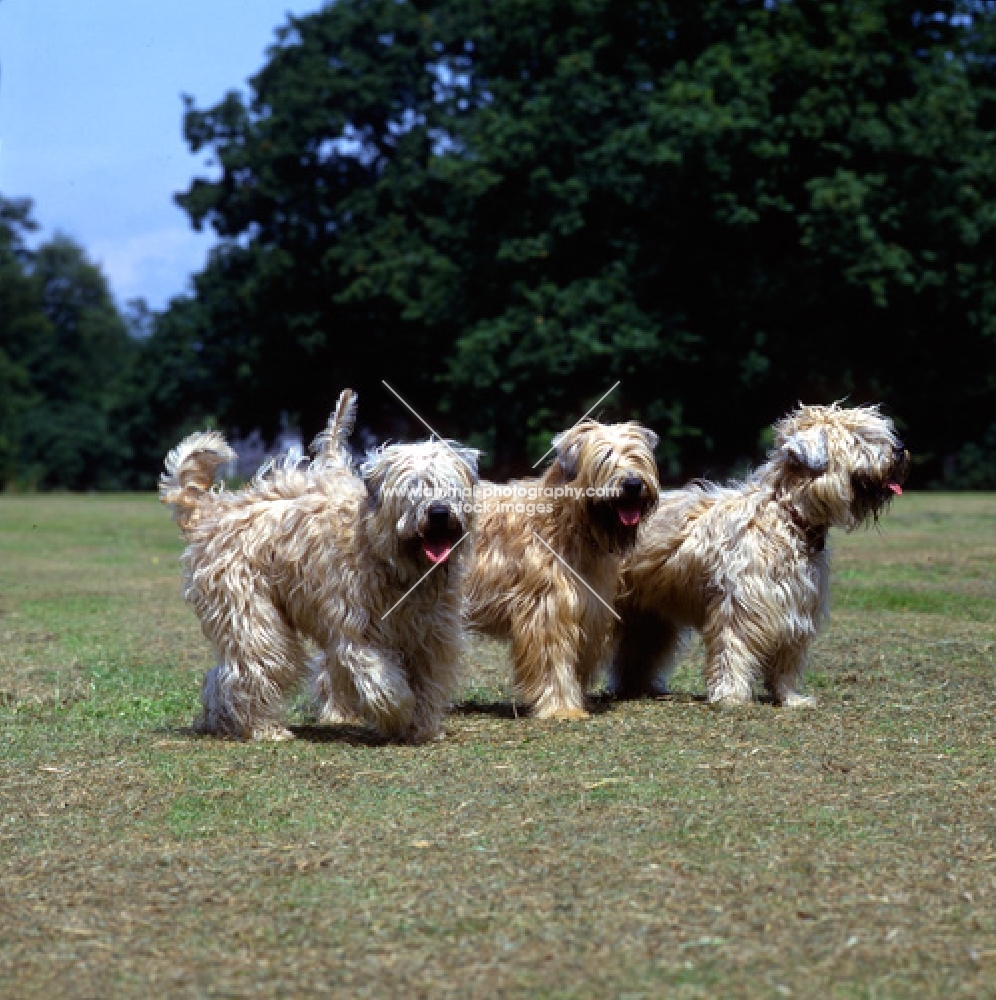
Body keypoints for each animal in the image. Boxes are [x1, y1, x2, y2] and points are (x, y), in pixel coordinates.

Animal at [160, 390, 478, 744]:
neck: (391, 559)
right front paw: (398, 715)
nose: (439, 512)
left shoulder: (432, 634)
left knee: (224, 675)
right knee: (256, 667)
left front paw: (421, 727)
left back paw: (221, 721)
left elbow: (426, 683)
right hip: (253, 617)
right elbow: (385, 682)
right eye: (412, 486)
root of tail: (212, 513)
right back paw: (264, 728)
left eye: (450, 485)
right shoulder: (357, 630)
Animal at [464, 420, 660, 720]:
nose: (633, 484)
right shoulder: (548, 609)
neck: (567, 520)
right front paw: (562, 708)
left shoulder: (589, 608)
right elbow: (552, 662)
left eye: (637, 456)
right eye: (604, 457)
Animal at [612, 402, 908, 708]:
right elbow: (733, 649)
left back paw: (642, 689)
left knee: (639, 651)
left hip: (647, 612)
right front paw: (730, 696)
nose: (900, 449)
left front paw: (790, 698)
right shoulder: (743, 606)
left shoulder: (794, 605)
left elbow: (786, 660)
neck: (787, 515)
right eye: (858, 438)